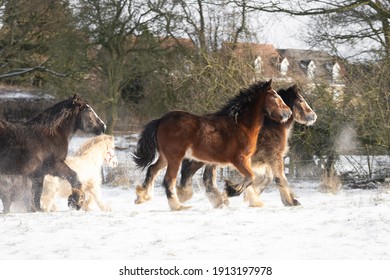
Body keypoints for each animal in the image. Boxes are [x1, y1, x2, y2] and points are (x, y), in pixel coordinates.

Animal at [133, 79, 290, 210]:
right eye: (275, 96)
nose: (288, 113)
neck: (241, 126)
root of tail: (160, 120)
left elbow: (248, 179)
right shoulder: (239, 160)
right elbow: (250, 177)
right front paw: (230, 191)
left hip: (165, 157)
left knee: (152, 169)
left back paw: (143, 197)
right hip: (175, 158)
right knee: (169, 179)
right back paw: (177, 206)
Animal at [177, 85, 316, 208]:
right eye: (301, 100)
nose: (313, 116)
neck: (271, 127)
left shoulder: (262, 161)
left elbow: (266, 179)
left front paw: (249, 197)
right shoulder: (273, 157)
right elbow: (279, 178)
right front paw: (290, 201)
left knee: (207, 179)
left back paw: (219, 201)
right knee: (190, 171)